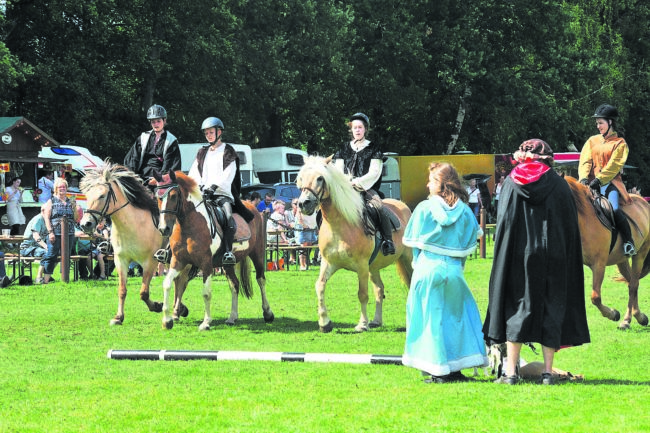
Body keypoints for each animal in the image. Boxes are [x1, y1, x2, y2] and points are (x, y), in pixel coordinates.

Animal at [79, 161, 167, 324]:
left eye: (102, 195)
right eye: (87, 196)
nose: (85, 224)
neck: (134, 226)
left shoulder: (149, 262)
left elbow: (143, 292)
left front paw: (157, 306)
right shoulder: (121, 260)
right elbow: (122, 290)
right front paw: (118, 317)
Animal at [152, 170, 274, 330]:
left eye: (173, 196)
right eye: (158, 197)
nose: (163, 229)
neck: (189, 226)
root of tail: (255, 209)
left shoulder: (206, 264)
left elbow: (206, 293)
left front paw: (206, 323)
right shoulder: (178, 261)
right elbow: (167, 284)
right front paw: (167, 320)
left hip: (257, 254)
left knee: (261, 280)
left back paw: (268, 313)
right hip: (227, 264)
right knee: (235, 284)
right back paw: (232, 317)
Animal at [294, 154, 410, 330]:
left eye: (320, 178)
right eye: (301, 178)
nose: (303, 204)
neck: (339, 226)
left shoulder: (361, 266)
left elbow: (362, 294)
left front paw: (362, 324)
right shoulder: (328, 263)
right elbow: (319, 286)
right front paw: (325, 323)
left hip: (408, 258)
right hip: (373, 267)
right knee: (379, 289)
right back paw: (376, 321)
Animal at [560, 177, 648, 330]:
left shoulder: (599, 264)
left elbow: (595, 297)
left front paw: (613, 314)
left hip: (640, 255)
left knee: (633, 285)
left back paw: (627, 319)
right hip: (622, 260)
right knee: (632, 282)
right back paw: (638, 316)